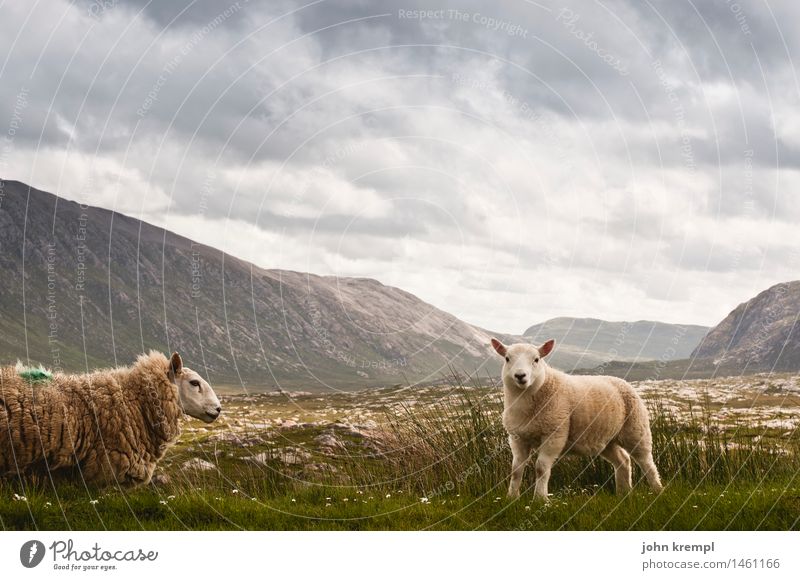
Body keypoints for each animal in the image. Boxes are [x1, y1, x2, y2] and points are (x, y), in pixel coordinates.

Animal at [490, 338, 664, 500]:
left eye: (536, 359)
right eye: (507, 358)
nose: (520, 376)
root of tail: (622, 381)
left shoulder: (554, 434)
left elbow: (541, 468)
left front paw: (540, 499)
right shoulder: (517, 438)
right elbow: (516, 470)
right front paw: (512, 497)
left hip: (635, 429)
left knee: (646, 461)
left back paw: (657, 490)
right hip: (605, 440)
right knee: (623, 460)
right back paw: (624, 493)